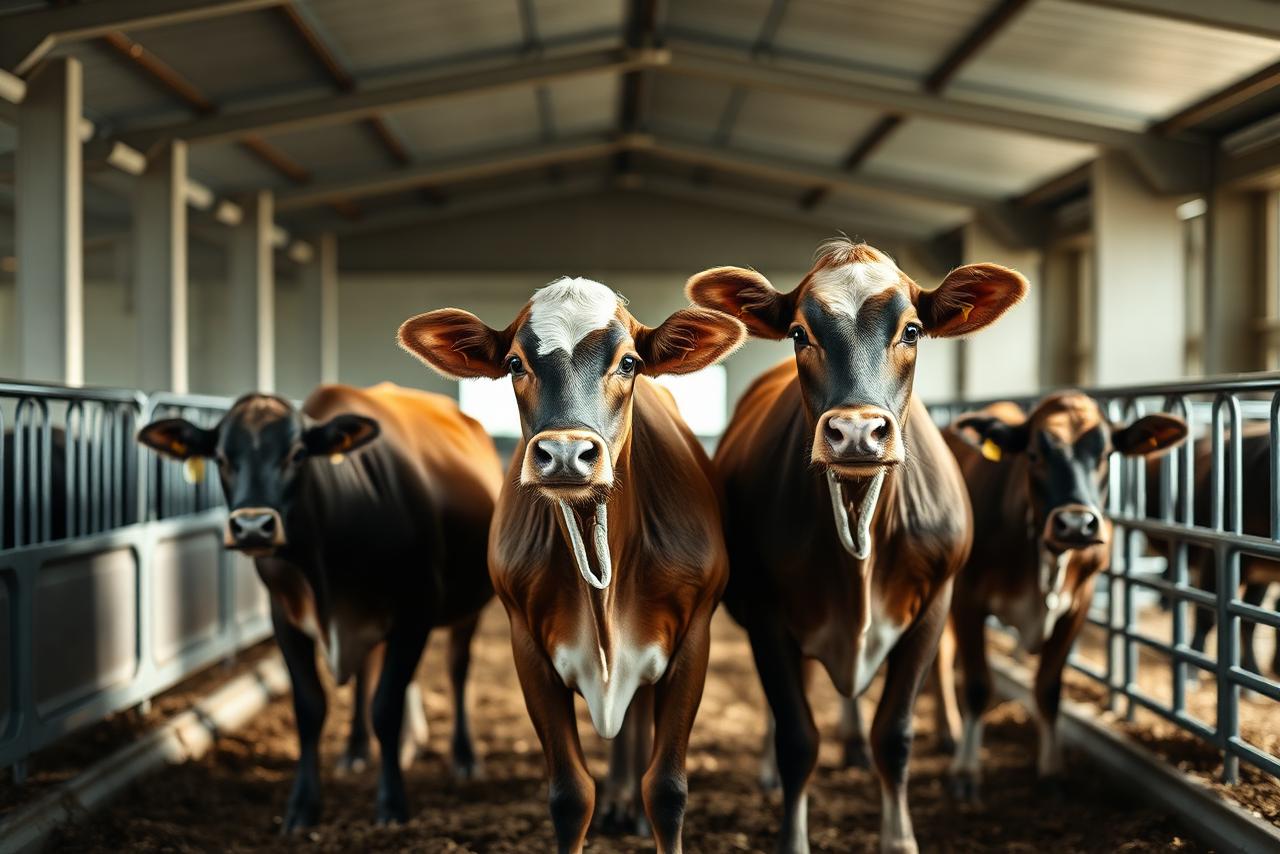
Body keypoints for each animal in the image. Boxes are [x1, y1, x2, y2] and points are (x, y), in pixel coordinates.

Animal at [137, 383, 501, 829]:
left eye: (296, 454)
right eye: (221, 458)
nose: (253, 527)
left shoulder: (416, 611)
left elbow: (387, 705)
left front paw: (392, 803)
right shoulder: (285, 619)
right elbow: (311, 707)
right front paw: (303, 806)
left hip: (468, 607)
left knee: (457, 668)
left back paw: (463, 757)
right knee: (370, 670)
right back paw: (361, 749)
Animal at [397, 277, 744, 854]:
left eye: (629, 362)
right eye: (514, 363)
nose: (564, 454)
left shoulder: (695, 635)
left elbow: (666, 789)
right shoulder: (527, 643)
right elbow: (570, 793)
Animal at [686, 239, 1027, 854]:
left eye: (911, 330)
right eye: (799, 333)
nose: (856, 433)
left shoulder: (933, 607)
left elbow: (893, 735)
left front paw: (899, 838)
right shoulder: (767, 616)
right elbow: (797, 738)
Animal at [941, 393, 1186, 798]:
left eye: (1105, 454)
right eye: (1033, 454)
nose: (1075, 524)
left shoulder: (1077, 608)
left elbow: (1049, 689)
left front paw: (1052, 770)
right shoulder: (966, 598)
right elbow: (977, 686)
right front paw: (965, 771)